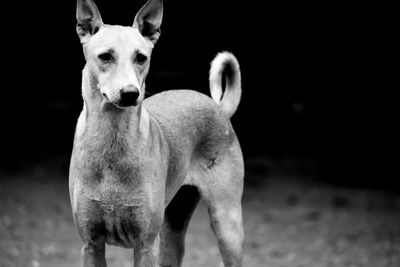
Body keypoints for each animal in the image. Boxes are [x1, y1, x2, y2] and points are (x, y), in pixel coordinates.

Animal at [69, 1, 244, 266]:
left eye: (141, 57)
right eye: (105, 57)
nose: (130, 93)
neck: (112, 141)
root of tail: (219, 107)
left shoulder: (145, 245)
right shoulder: (91, 244)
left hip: (227, 223)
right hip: (173, 226)